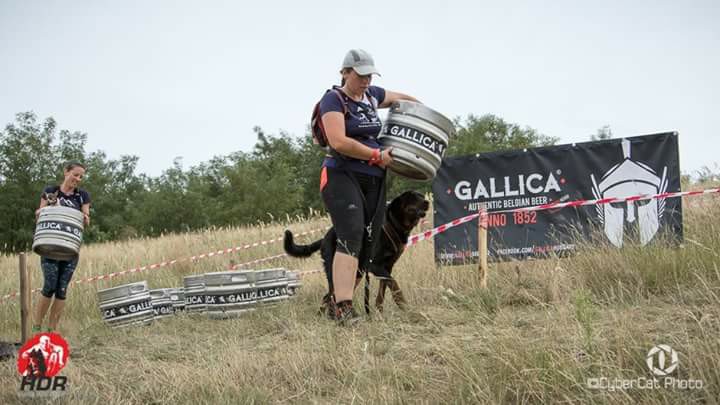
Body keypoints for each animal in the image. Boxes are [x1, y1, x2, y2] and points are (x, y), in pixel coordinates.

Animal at [282, 189, 428, 312]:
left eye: (421, 196)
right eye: (413, 197)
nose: (427, 202)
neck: (392, 224)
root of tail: (324, 238)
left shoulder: (388, 266)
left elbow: (383, 290)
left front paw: (380, 310)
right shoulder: (375, 265)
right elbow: (393, 283)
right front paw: (403, 304)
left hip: (355, 273)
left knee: (332, 297)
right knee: (329, 297)